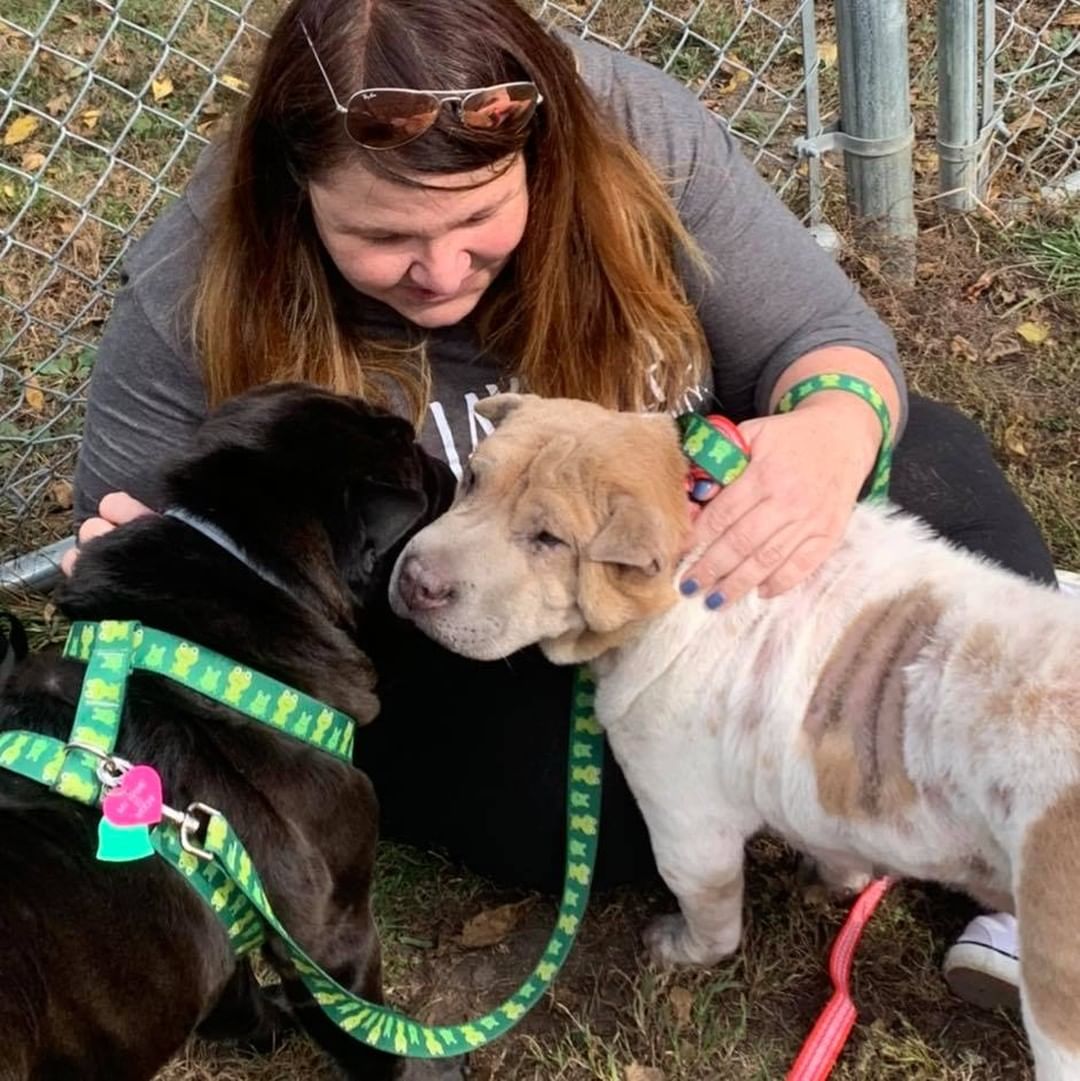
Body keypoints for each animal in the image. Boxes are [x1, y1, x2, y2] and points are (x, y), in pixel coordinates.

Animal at [0, 386, 460, 1081]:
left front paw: (269, 1026)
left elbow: (235, 998)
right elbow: (366, 1034)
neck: (248, 561)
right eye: (416, 464)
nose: (450, 468)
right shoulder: (333, 938)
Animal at [393, 393, 1080, 1076]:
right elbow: (833, 842)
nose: (415, 581)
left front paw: (677, 948)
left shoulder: (688, 828)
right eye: (473, 479)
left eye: (549, 539)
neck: (686, 549)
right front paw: (837, 882)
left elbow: (715, 920)